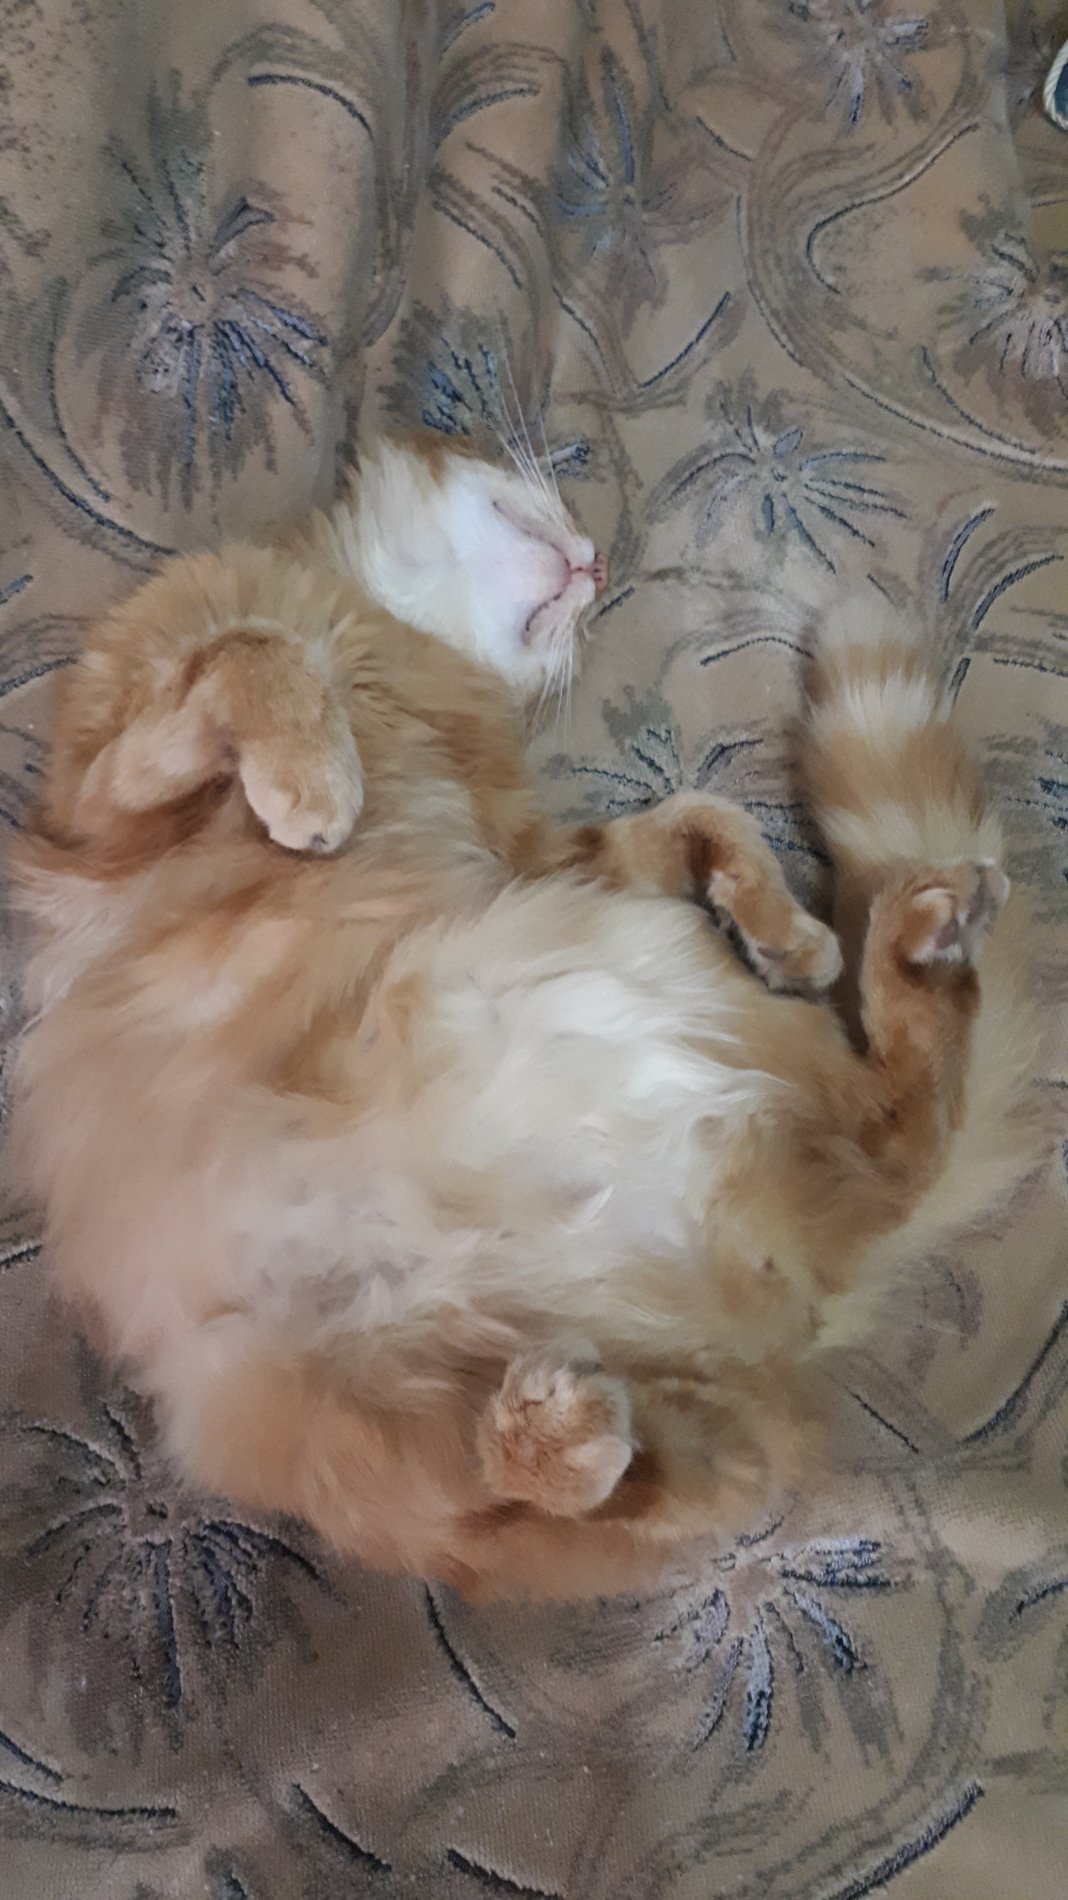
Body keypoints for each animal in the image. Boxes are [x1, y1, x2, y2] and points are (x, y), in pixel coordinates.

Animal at [7, 432, 1040, 1601]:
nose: (599, 563)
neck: (389, 637)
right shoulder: (108, 804)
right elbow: (255, 653)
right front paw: (314, 779)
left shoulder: (542, 859)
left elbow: (699, 812)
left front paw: (789, 930)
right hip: (381, 1427)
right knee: (574, 1482)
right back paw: (562, 1428)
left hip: (640, 975)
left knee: (898, 1143)